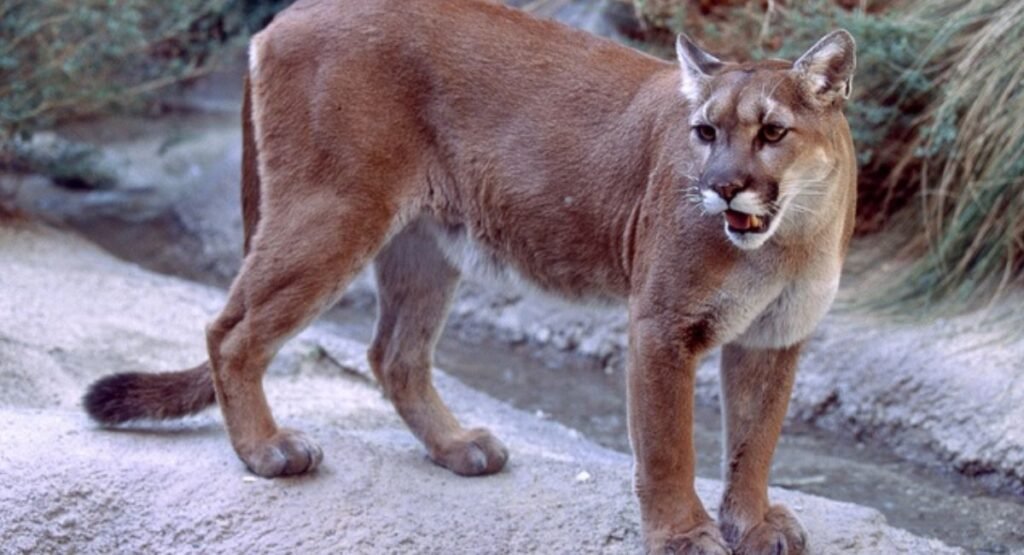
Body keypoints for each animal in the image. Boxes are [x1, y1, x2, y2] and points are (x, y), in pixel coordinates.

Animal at [84, 1, 857, 552]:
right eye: (704, 132)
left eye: (772, 132)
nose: (723, 188)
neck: (787, 237)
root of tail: (286, 15)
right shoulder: (663, 325)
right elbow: (671, 447)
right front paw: (685, 536)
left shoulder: (774, 336)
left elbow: (754, 441)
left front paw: (752, 523)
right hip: (331, 213)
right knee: (231, 329)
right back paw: (267, 452)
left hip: (422, 244)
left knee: (392, 353)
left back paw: (458, 448)